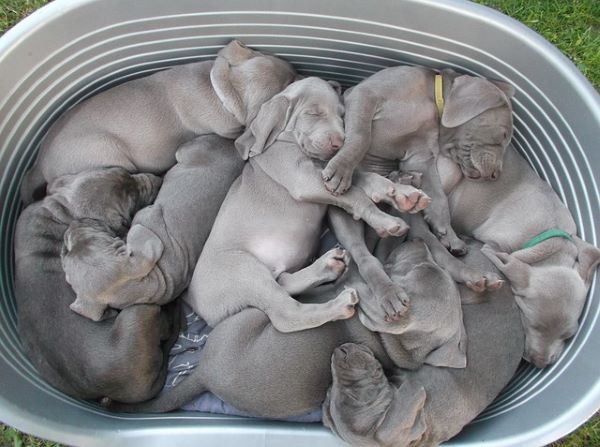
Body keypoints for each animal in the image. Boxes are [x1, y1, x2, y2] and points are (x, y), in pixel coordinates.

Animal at [19, 38, 296, 203]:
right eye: (289, 82)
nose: (299, 71)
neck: (222, 88)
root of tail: (38, 165)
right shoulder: (227, 129)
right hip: (106, 155)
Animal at [60, 136, 244, 322]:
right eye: (65, 255)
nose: (74, 225)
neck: (153, 281)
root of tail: (233, 147)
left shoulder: (144, 214)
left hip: (189, 149)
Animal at [185, 77, 428, 334]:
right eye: (313, 113)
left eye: (342, 115)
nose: (339, 143)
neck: (286, 140)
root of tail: (197, 304)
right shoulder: (303, 179)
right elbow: (356, 195)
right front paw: (387, 221)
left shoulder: (326, 172)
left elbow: (363, 179)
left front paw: (402, 194)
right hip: (243, 269)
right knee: (285, 314)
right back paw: (338, 305)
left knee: (282, 281)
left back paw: (327, 267)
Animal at [436, 144, 600, 368]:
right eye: (533, 324)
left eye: (567, 335)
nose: (540, 363)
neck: (546, 244)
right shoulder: (495, 244)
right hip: (451, 172)